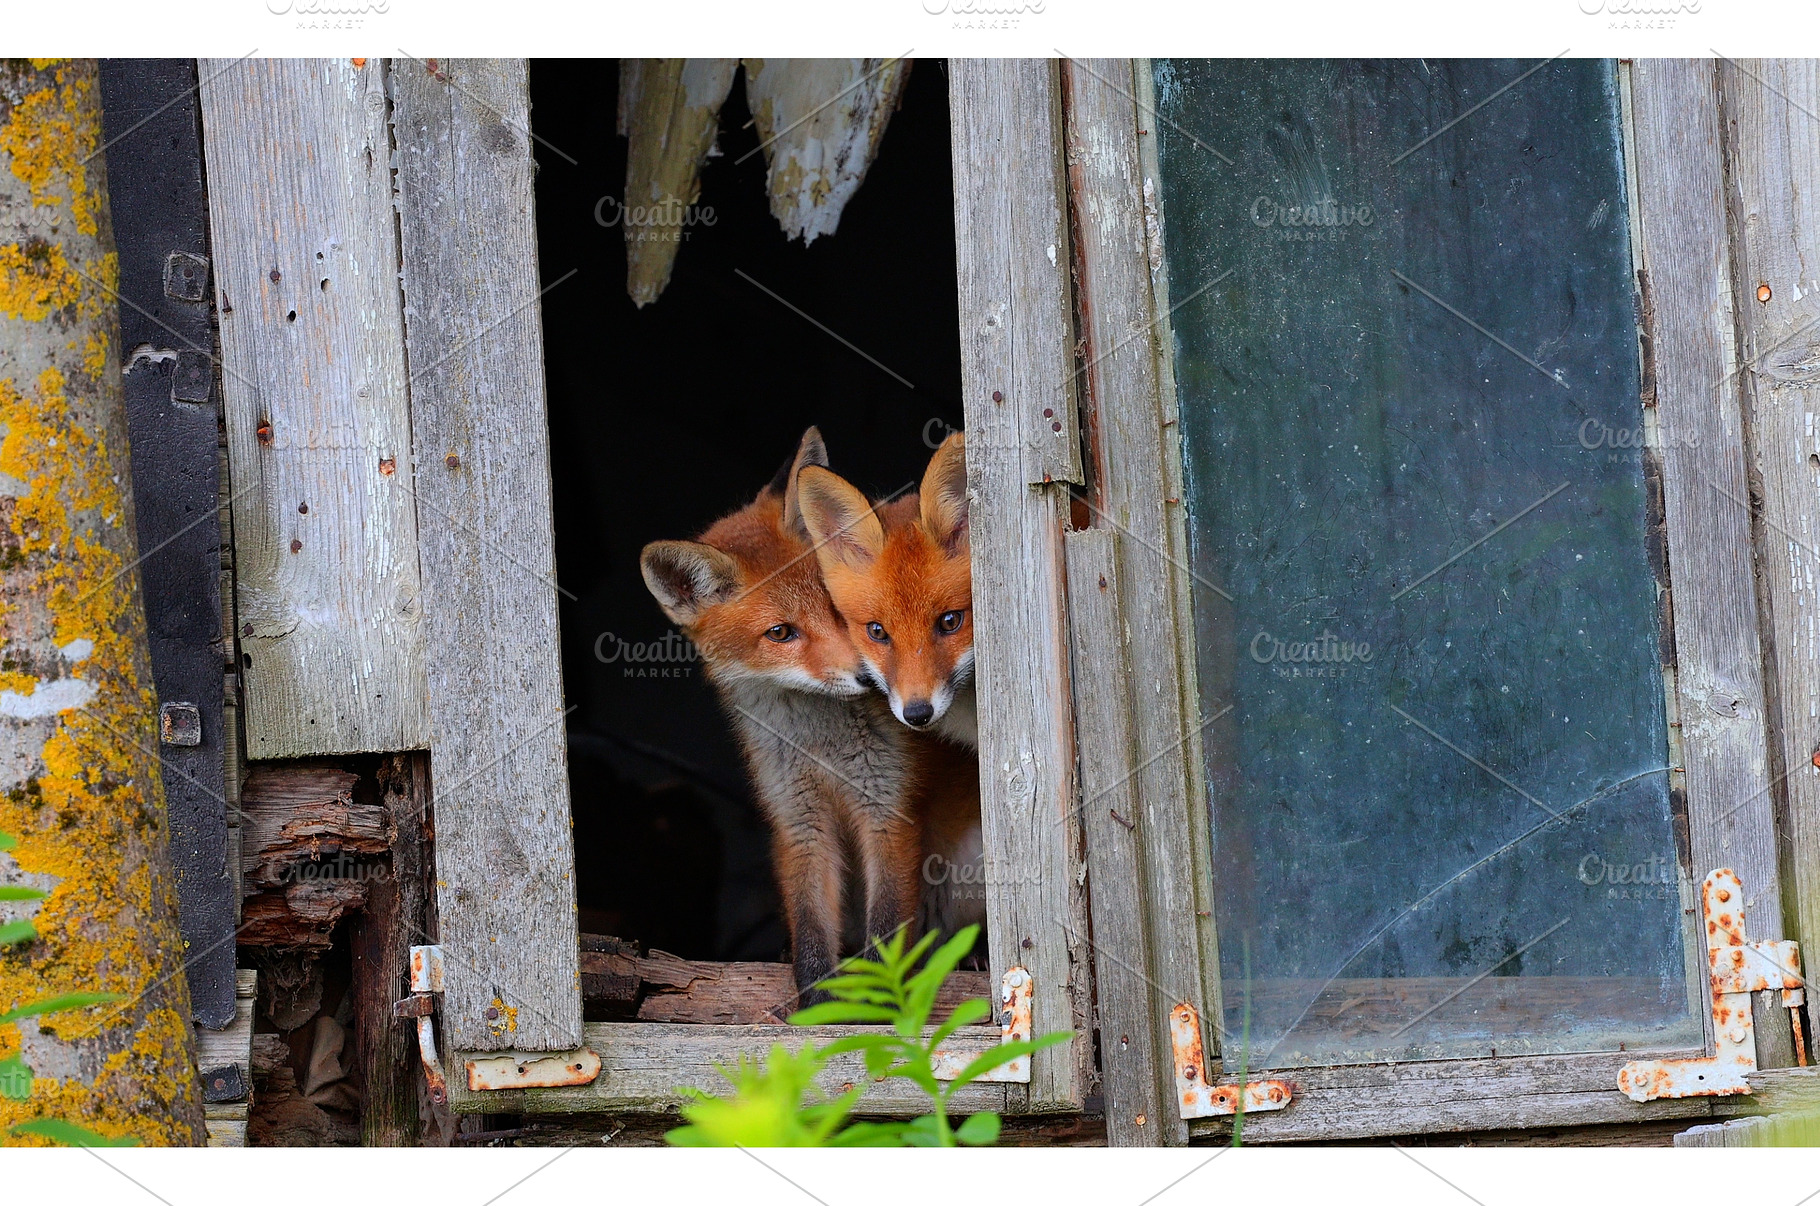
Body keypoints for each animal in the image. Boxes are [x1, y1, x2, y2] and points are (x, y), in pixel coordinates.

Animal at [640, 428, 979, 1002]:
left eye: (835, 606)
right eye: (781, 632)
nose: (866, 678)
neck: (822, 746)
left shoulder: (887, 805)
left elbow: (886, 929)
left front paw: (879, 1004)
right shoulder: (798, 818)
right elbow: (812, 933)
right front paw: (815, 1006)